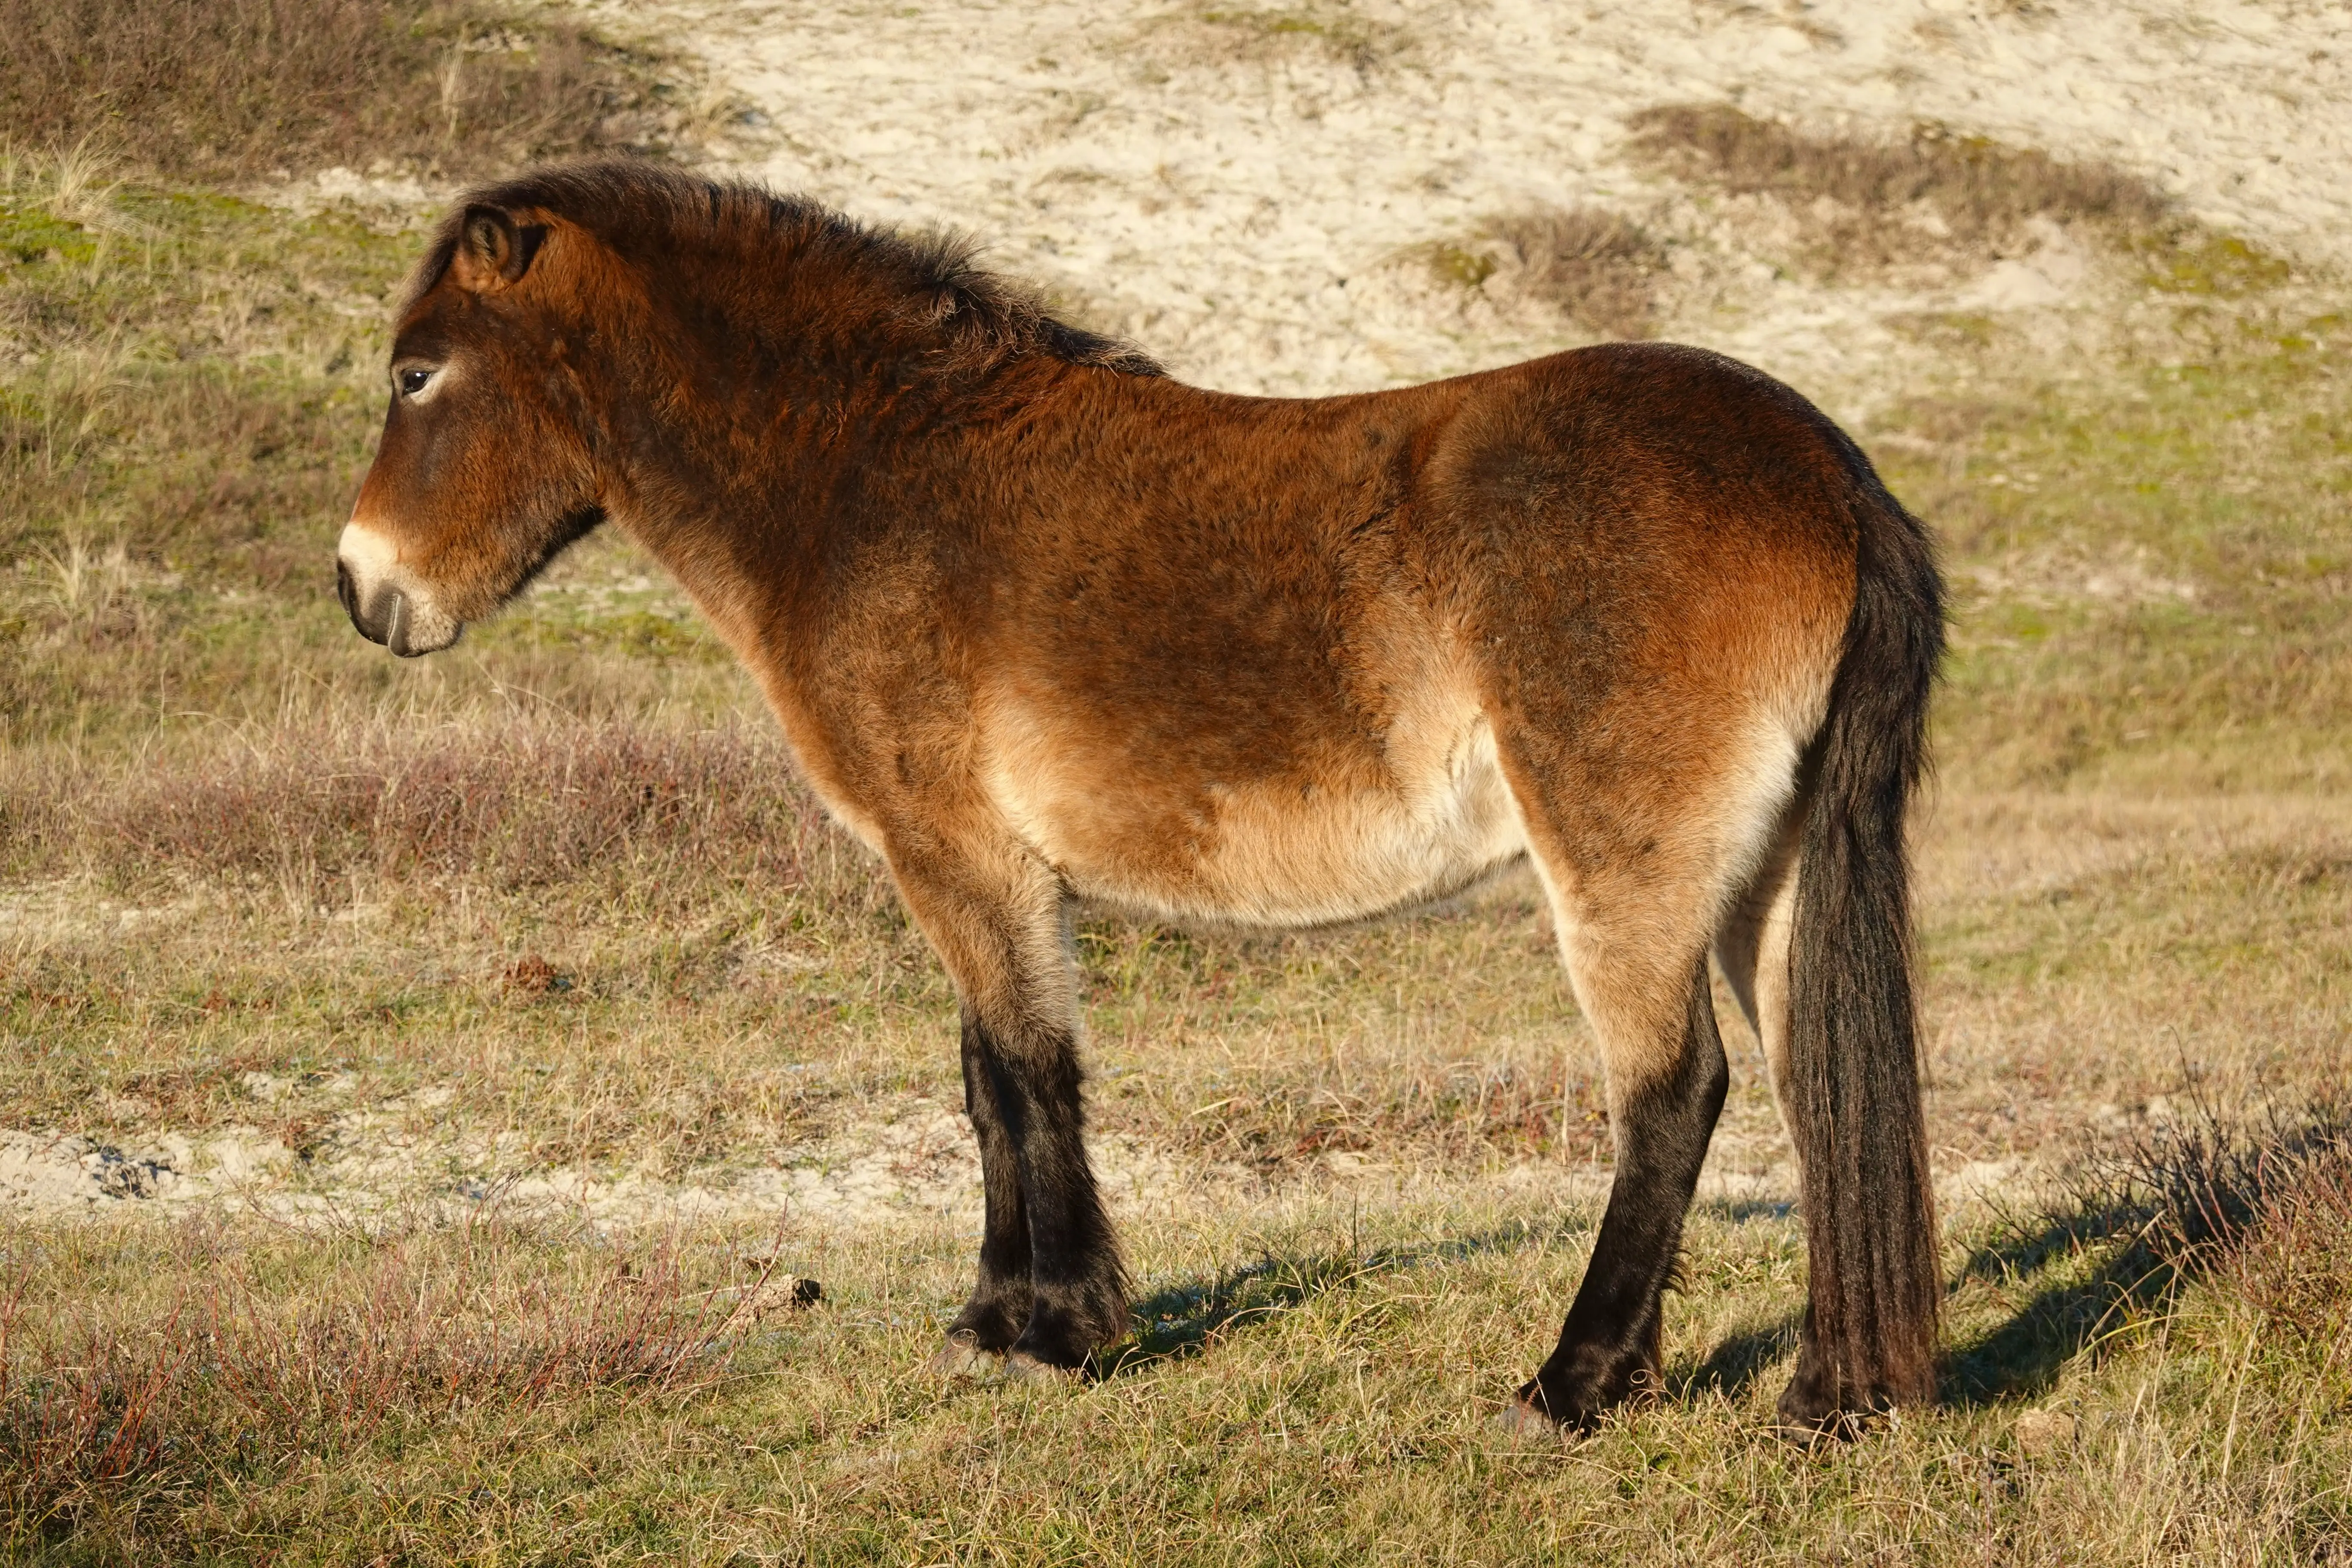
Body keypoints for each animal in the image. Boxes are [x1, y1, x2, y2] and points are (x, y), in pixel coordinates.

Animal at [335, 161, 1944, 1434]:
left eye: (418, 374)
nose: (364, 591)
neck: (868, 476)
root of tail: (1828, 473)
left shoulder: (956, 855)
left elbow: (1019, 1072)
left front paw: (1048, 1329)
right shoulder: (980, 865)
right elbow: (990, 1077)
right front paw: (1008, 1315)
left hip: (1626, 868)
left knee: (1674, 1094)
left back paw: (1573, 1384)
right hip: (1764, 873)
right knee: (1813, 1089)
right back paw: (1831, 1393)